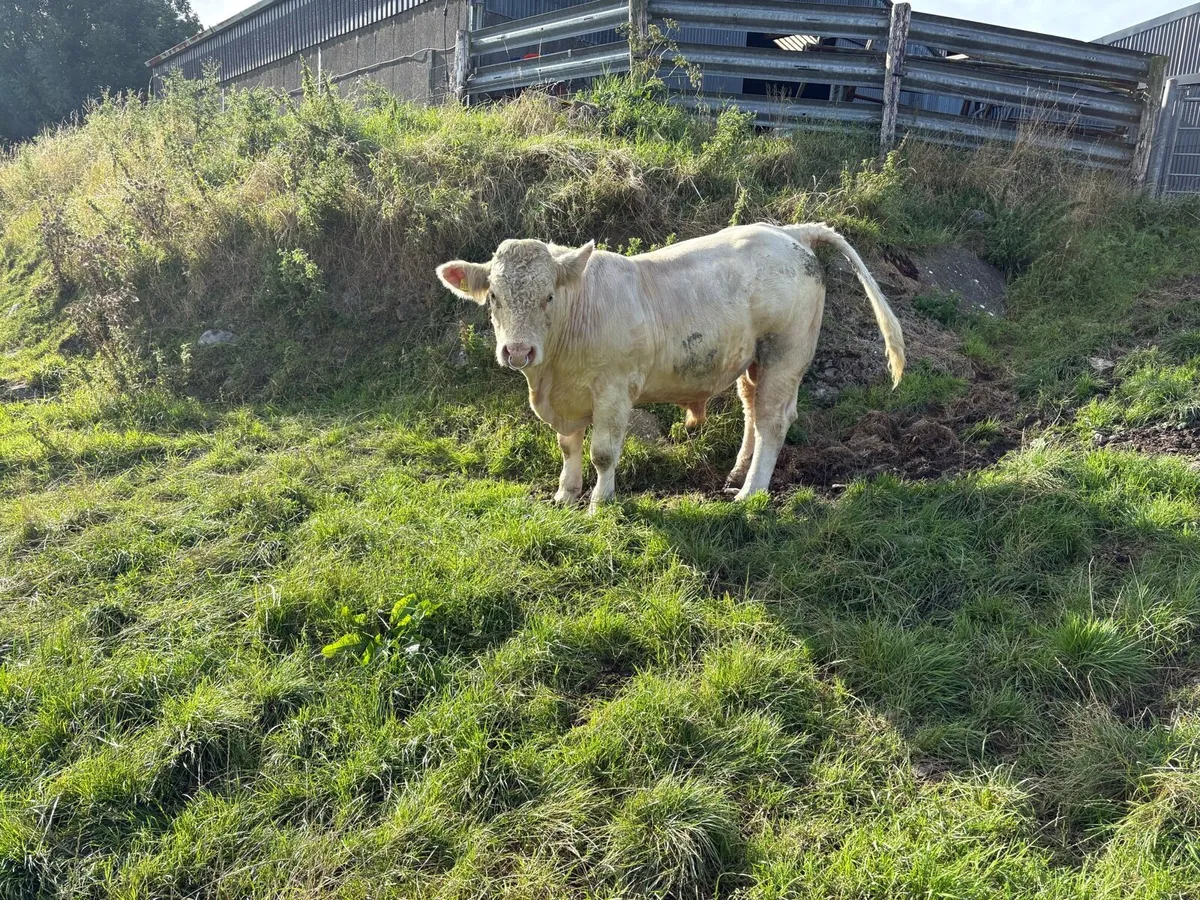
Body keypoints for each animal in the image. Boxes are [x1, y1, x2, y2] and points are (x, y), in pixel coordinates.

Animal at [437, 222, 904, 513]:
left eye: (548, 296)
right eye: (494, 297)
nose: (518, 352)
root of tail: (788, 232)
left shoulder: (613, 390)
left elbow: (602, 452)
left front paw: (599, 503)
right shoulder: (566, 400)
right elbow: (568, 447)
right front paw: (565, 495)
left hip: (785, 354)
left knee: (774, 420)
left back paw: (750, 493)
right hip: (753, 360)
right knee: (753, 412)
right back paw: (737, 474)